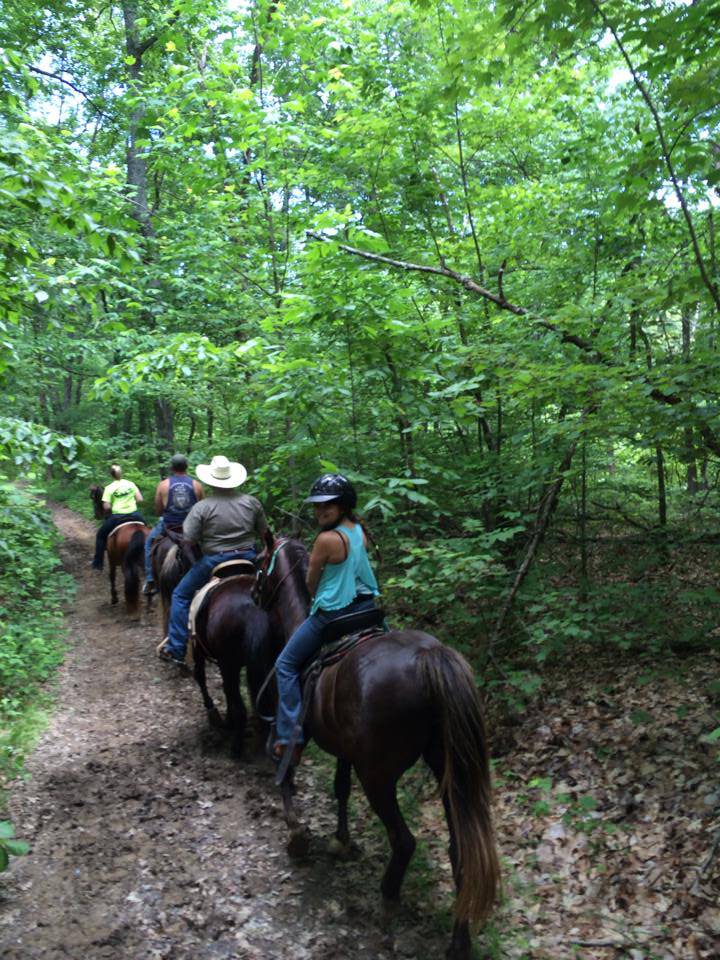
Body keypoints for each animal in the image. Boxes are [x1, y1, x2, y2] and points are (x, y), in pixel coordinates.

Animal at [90, 488, 151, 616]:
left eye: (95, 501)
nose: (96, 515)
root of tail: (137, 531)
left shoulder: (111, 560)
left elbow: (112, 576)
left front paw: (114, 599)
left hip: (125, 562)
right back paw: (148, 606)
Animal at [258, 532, 500, 960]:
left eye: (260, 560)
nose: (254, 594)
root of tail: (430, 657)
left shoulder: (295, 725)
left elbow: (286, 768)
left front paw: (297, 834)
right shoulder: (343, 747)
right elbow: (339, 788)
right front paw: (342, 841)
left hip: (378, 776)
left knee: (404, 842)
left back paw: (387, 913)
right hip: (447, 770)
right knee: (460, 849)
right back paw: (458, 941)